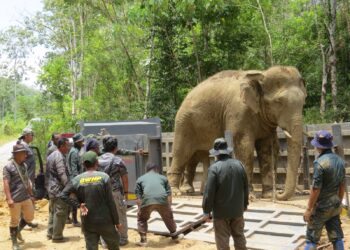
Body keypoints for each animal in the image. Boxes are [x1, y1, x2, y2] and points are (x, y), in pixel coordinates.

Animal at [168, 65, 308, 200]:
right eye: (279, 102)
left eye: (303, 102)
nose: (278, 193)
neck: (261, 75)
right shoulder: (238, 112)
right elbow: (244, 147)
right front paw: (250, 196)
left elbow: (268, 149)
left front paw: (268, 195)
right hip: (183, 124)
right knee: (181, 153)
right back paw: (176, 192)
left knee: (193, 157)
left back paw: (189, 190)